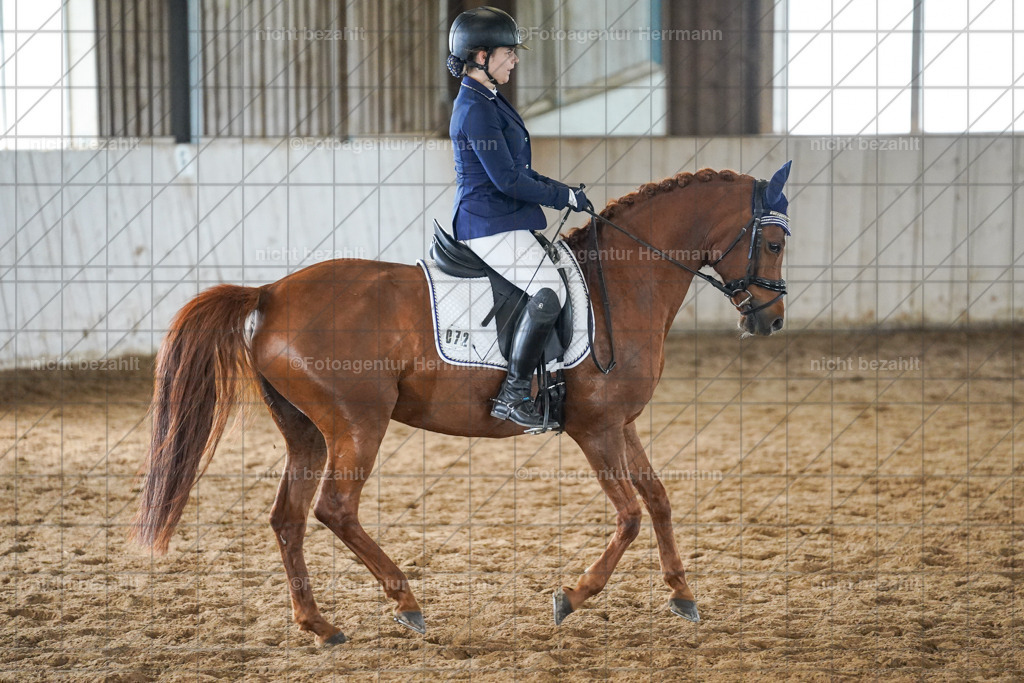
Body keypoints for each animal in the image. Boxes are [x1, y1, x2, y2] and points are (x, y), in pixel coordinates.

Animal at [130, 165, 791, 646]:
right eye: (774, 241)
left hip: (308, 432)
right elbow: (629, 515)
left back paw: (320, 625)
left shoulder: (620, 423)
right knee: (335, 511)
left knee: (288, 519)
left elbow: (657, 500)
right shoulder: (596, 428)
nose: (772, 320)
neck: (624, 284)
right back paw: (407, 602)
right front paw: (571, 597)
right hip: (357, 423)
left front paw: (682, 594)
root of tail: (270, 292)